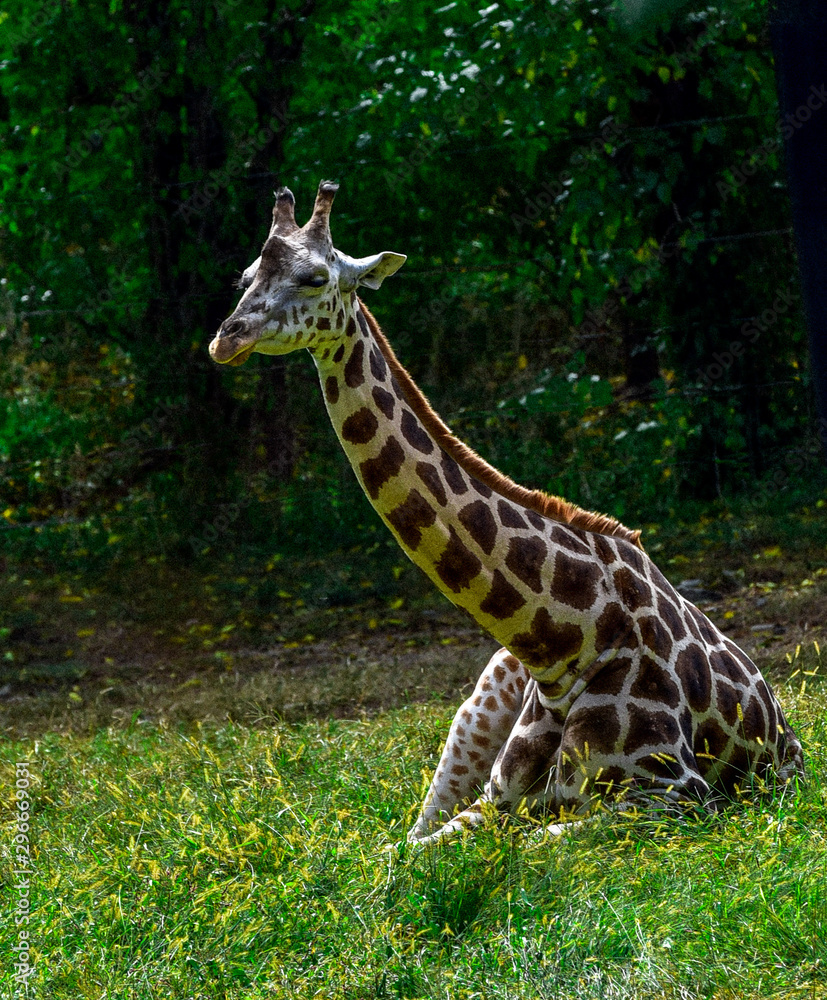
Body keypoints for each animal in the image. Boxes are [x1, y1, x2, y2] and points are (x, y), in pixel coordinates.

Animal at [209, 180, 804, 845]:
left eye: (314, 277)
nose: (226, 338)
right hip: (474, 710)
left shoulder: (674, 795)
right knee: (409, 827)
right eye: (245, 276)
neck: (562, 643)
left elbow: (534, 840)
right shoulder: (498, 798)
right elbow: (409, 853)